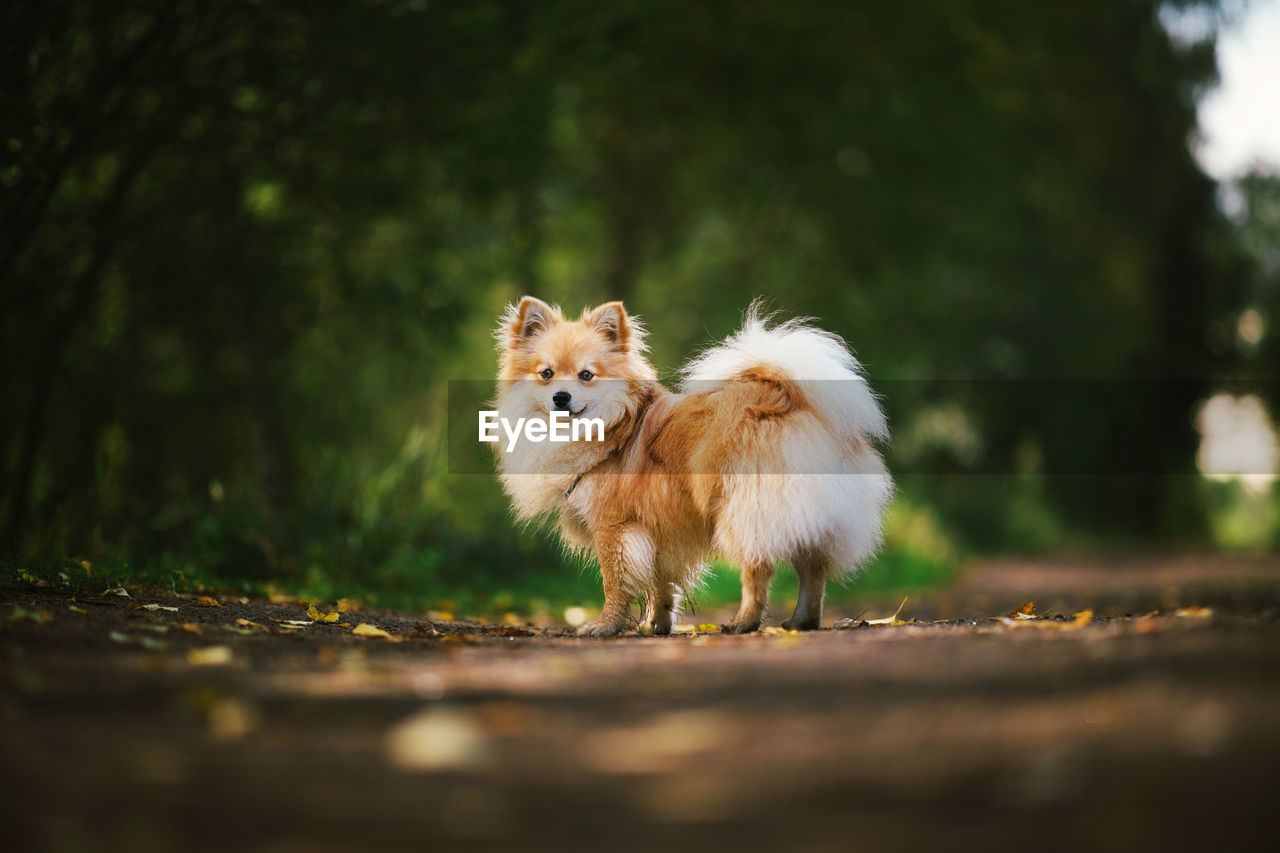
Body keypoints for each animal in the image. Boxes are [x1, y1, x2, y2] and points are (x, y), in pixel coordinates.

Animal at [488, 295, 890, 635]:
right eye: (546, 374)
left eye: (586, 375)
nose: (561, 396)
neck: (610, 426)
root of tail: (783, 398)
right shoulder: (658, 529)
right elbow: (661, 584)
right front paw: (656, 626)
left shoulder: (613, 526)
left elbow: (614, 583)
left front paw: (605, 626)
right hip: (809, 511)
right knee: (813, 568)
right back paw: (801, 621)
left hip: (744, 507)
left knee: (759, 568)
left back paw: (744, 623)